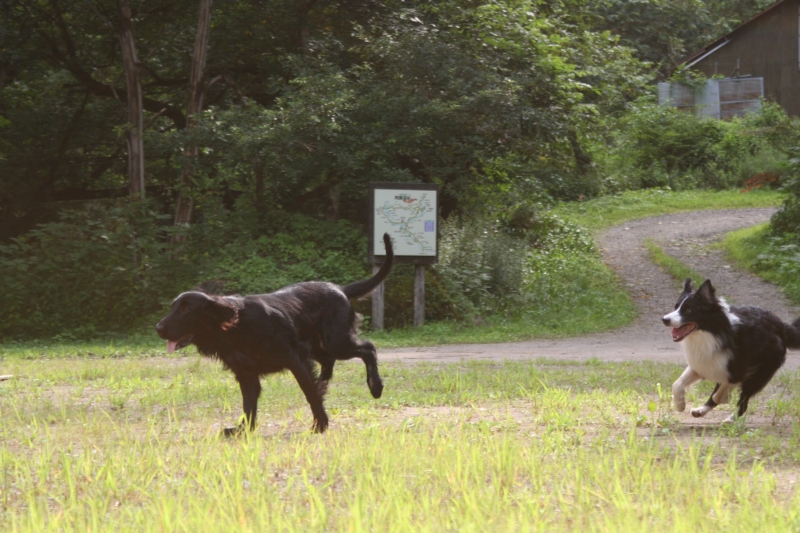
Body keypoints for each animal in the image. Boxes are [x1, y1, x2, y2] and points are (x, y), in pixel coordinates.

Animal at [155, 233, 392, 432]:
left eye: (186, 309)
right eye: (173, 307)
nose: (158, 328)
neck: (236, 329)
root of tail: (339, 289)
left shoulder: (295, 359)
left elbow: (309, 393)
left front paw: (320, 424)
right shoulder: (246, 373)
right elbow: (248, 405)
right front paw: (243, 430)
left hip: (336, 341)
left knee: (368, 349)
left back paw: (376, 386)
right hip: (318, 346)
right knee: (329, 361)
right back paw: (325, 383)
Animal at [664, 278, 800, 424]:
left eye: (688, 310)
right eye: (676, 307)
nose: (664, 319)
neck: (710, 332)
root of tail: (782, 326)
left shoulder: (738, 369)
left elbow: (719, 394)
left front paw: (725, 398)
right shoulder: (702, 363)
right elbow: (677, 384)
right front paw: (680, 404)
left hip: (760, 373)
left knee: (743, 402)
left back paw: (730, 419)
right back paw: (701, 411)